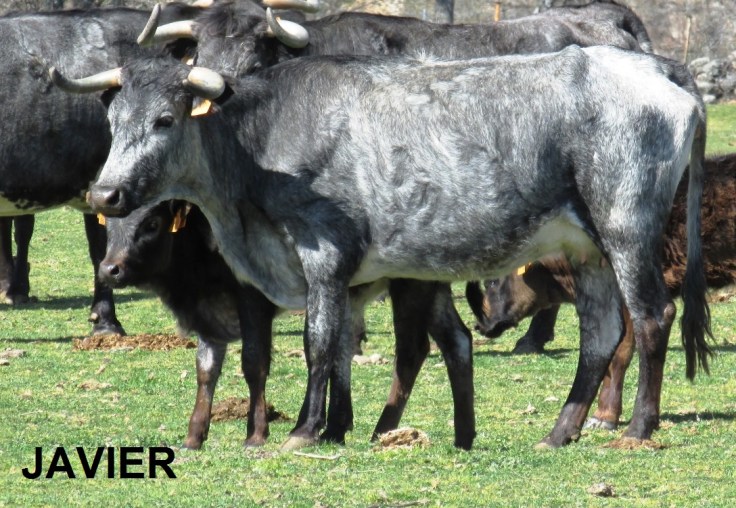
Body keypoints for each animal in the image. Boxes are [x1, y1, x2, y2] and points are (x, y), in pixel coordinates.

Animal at [100, 201, 474, 449]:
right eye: (108, 226)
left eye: (151, 224)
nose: (109, 269)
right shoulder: (208, 317)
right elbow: (206, 371)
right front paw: (194, 437)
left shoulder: (252, 300)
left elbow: (254, 363)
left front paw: (255, 434)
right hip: (431, 289)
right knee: (457, 340)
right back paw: (462, 435)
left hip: (411, 285)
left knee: (412, 350)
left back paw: (381, 431)